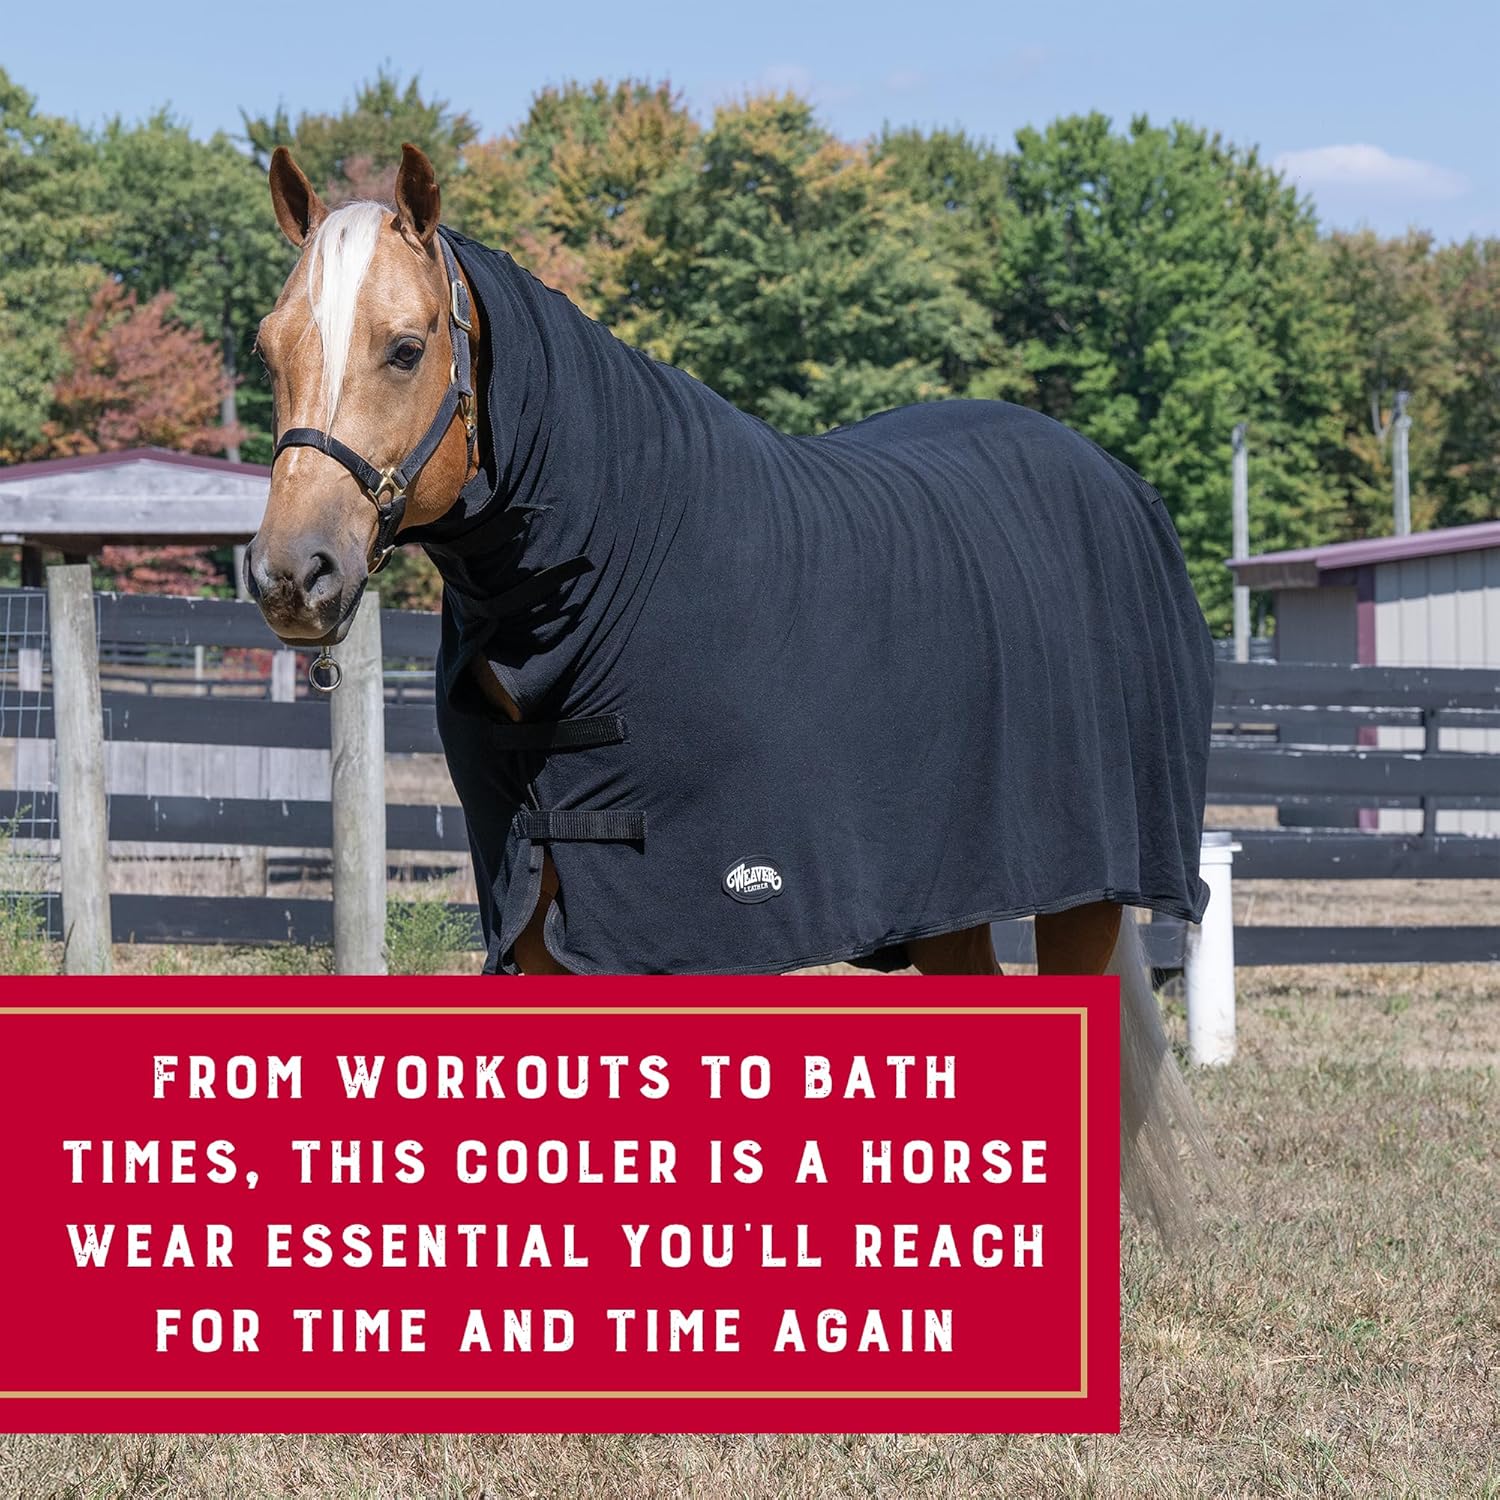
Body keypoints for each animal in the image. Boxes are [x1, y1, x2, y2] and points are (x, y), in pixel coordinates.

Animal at [245, 143, 1219, 1236]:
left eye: (406, 350)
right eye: (269, 349)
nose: (293, 575)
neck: (616, 556)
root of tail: (1116, 482)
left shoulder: (690, 920)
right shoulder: (545, 918)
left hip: (1090, 889)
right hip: (955, 891)